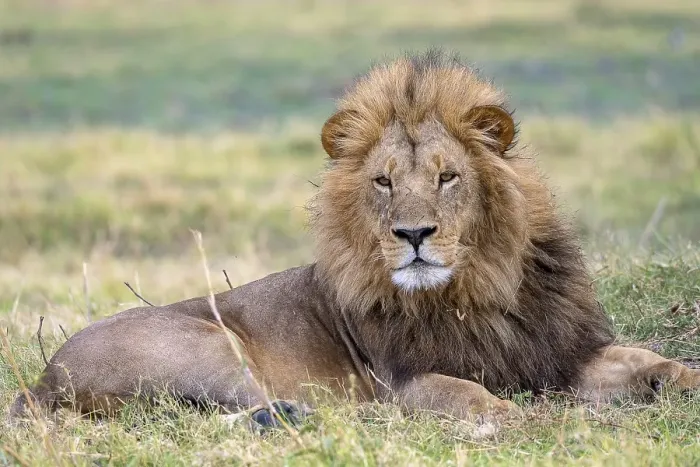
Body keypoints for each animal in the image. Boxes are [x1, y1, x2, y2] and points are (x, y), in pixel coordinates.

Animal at [10, 50, 700, 427]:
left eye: (447, 177)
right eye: (383, 182)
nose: (414, 233)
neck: (475, 291)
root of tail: (42, 380)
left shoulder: (561, 352)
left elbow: (647, 360)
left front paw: (684, 378)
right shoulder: (405, 380)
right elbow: (469, 394)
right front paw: (516, 417)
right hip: (211, 345)